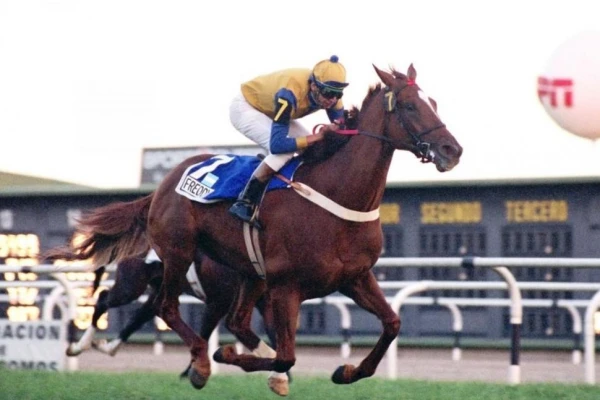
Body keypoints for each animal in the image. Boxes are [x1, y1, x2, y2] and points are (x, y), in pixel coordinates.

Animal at [47, 64, 462, 396]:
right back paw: (193, 362)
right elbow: (287, 355)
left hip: (248, 272)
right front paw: (226, 356)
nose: (452, 150)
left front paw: (347, 371)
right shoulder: (286, 288)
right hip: (176, 255)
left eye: (434, 102)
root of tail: (162, 185)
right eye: (410, 106)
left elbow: (392, 324)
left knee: (230, 320)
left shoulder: (354, 277)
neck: (338, 196)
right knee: (158, 306)